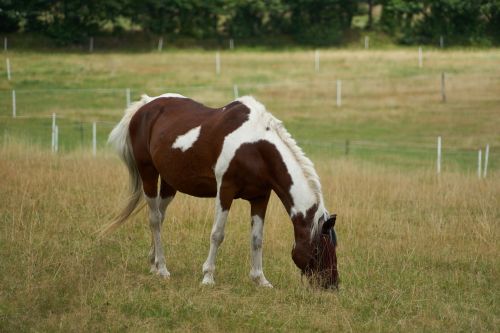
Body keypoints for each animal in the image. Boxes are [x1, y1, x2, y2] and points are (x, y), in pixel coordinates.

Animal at [104, 93, 340, 288]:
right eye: (319, 249)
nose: (332, 284)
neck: (256, 148)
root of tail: (145, 105)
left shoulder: (260, 197)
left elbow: (257, 238)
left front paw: (260, 279)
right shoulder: (225, 190)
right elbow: (217, 234)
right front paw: (208, 277)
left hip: (170, 183)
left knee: (160, 218)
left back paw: (154, 264)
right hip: (148, 174)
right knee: (154, 219)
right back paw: (162, 269)